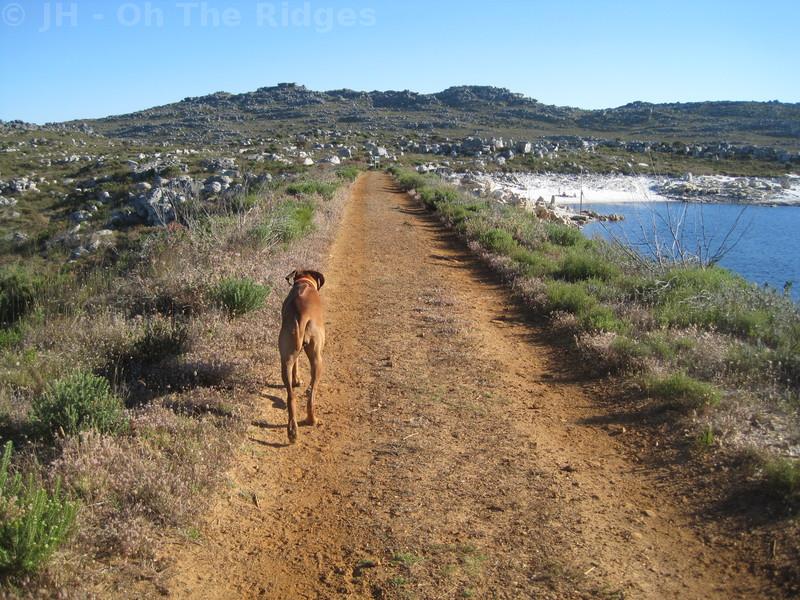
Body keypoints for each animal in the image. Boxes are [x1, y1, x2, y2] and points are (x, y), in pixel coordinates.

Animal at [276, 270, 324, 442]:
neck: (304, 282)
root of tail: (301, 314)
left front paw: (296, 380)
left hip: (286, 357)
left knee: (291, 396)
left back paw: (292, 431)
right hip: (318, 358)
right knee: (311, 394)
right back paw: (312, 420)